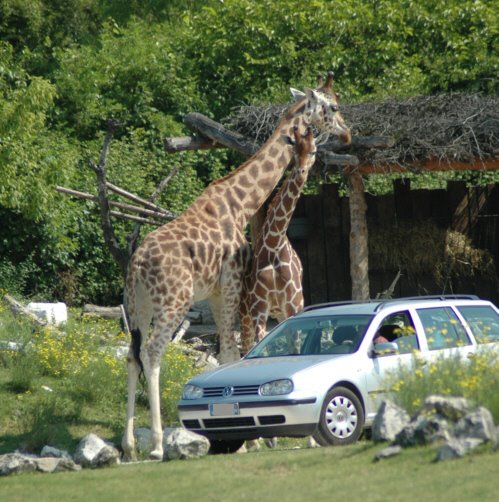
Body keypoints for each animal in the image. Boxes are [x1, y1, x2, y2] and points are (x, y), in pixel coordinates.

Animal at [241, 125, 316, 352]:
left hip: (281, 312)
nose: (301, 173)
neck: (274, 245)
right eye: (294, 151)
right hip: (244, 313)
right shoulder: (259, 308)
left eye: (313, 151)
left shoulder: (294, 307)